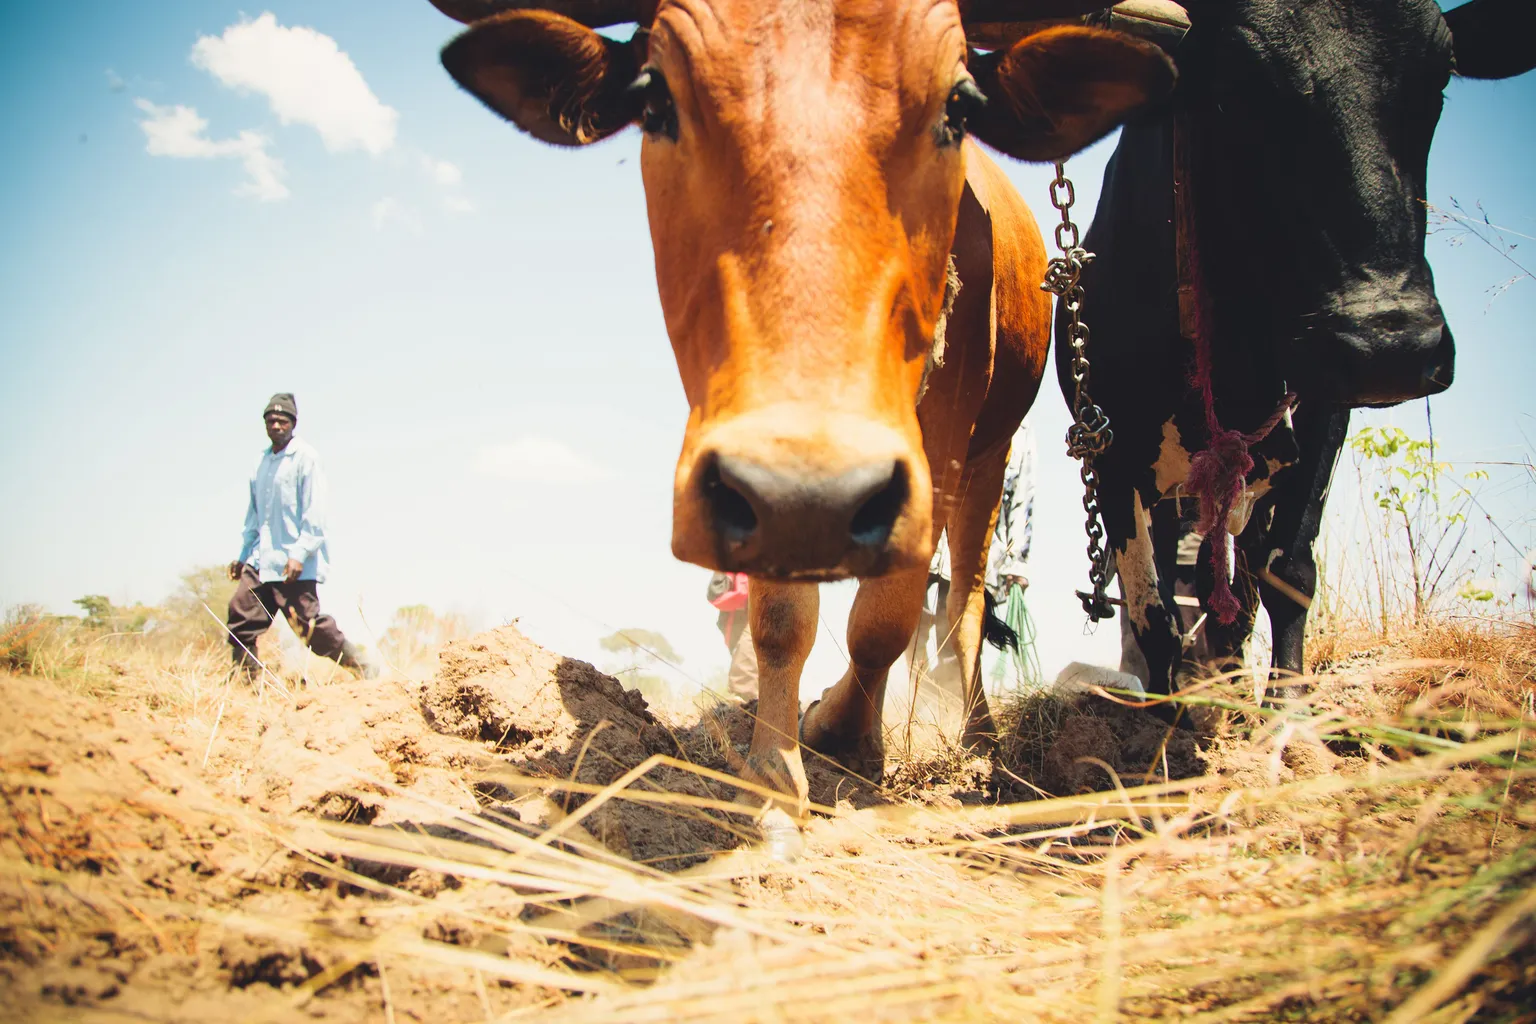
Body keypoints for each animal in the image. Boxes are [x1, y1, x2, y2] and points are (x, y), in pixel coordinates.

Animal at [427, 0, 1167, 829]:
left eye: (958, 107)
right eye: (654, 101)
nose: (816, 492)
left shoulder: (943, 439)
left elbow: (888, 612)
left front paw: (844, 733)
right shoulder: (745, 470)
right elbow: (782, 616)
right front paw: (773, 770)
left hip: (991, 456)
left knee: (965, 604)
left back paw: (977, 739)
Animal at [1062, 0, 1536, 700]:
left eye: (1439, 82)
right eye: (1235, 86)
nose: (1389, 344)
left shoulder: (1321, 414)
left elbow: (1287, 574)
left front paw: (1283, 711)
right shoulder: (1112, 446)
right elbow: (1153, 614)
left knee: (1231, 593)